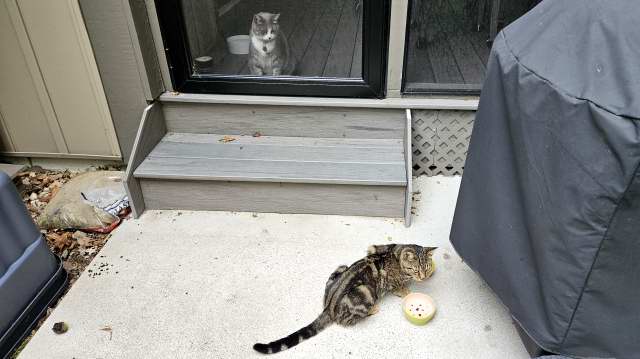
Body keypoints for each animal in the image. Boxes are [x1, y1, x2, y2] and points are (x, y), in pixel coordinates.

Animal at [252, 245, 438, 354]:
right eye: (415, 269)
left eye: (426, 267)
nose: (422, 276)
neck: (397, 254)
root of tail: (329, 306)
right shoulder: (391, 281)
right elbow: (398, 287)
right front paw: (405, 290)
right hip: (366, 292)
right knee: (346, 321)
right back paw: (372, 309)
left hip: (341, 267)